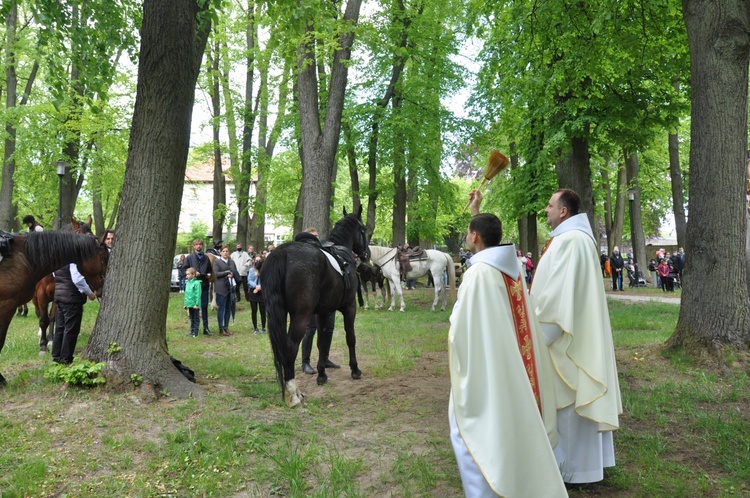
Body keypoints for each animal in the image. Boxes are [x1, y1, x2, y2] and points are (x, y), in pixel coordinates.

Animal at [0, 231, 108, 386]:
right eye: (104, 258)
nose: (102, 289)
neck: (23, 256)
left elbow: (51, 318)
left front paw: (49, 341)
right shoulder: (10, 304)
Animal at [264, 208, 370, 406]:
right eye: (363, 230)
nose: (367, 253)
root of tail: (283, 253)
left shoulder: (323, 312)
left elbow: (322, 342)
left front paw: (321, 374)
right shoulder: (349, 307)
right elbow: (350, 338)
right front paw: (355, 370)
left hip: (279, 313)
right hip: (301, 316)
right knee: (290, 346)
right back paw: (293, 394)